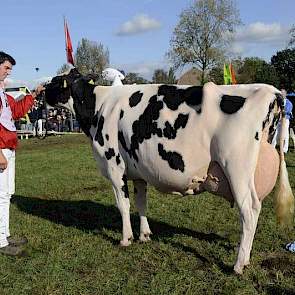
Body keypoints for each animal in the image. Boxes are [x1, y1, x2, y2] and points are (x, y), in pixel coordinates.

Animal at [45, 67, 294, 276]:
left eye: (56, 81)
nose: (42, 92)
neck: (99, 106)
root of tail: (271, 91)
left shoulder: (114, 166)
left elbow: (123, 205)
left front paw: (126, 239)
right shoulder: (138, 171)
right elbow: (141, 203)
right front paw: (145, 235)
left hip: (236, 168)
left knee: (249, 210)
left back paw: (239, 264)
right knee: (254, 211)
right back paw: (246, 255)